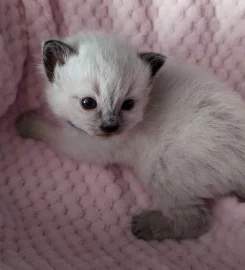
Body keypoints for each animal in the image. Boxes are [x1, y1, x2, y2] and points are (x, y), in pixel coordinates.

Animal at [16, 31, 245, 240]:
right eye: (88, 103)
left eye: (128, 104)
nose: (110, 127)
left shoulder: (85, 146)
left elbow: (49, 132)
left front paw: (24, 122)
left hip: (162, 170)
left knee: (195, 222)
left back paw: (144, 226)